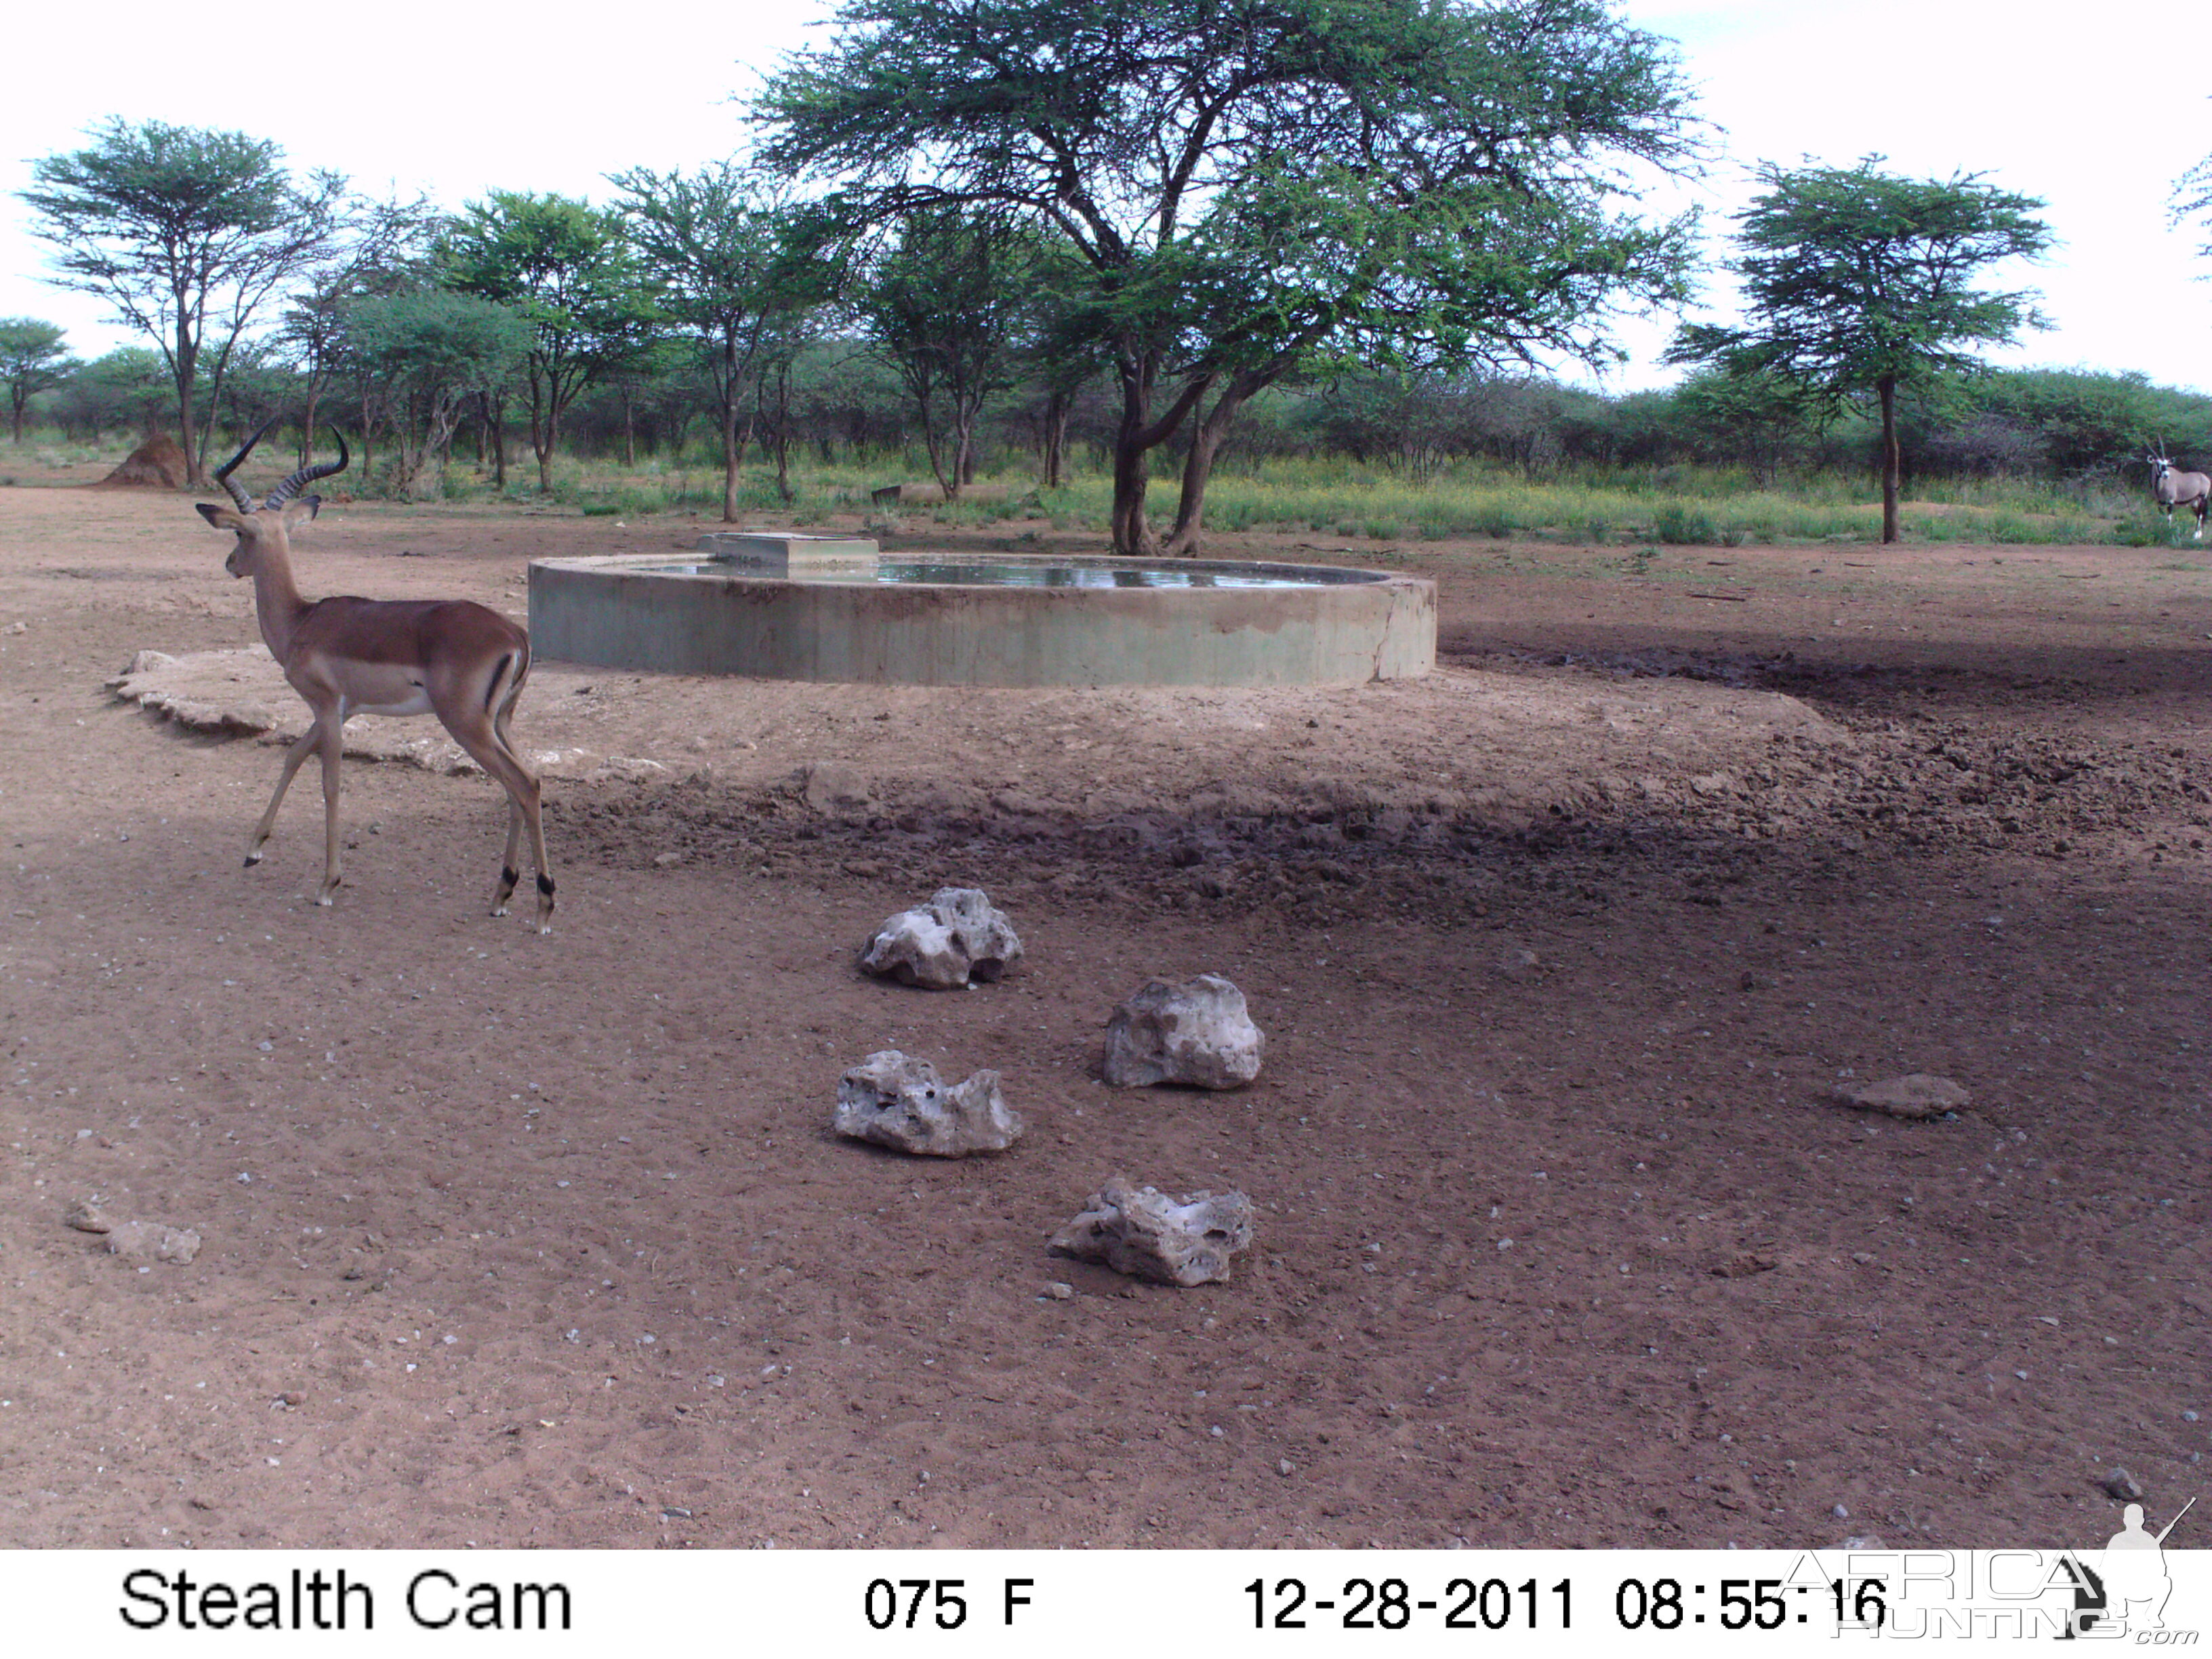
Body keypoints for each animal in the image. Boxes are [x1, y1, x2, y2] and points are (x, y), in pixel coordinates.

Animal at [201, 422, 553, 928]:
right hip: (500, 722)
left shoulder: (327, 707)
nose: (230, 563)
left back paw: (543, 906)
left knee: (523, 783)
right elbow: (293, 756)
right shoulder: (342, 711)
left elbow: (330, 784)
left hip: (467, 725)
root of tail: (515, 635)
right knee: (522, 786)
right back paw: (502, 895)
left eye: (239, 532)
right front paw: (253, 850)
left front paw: (327, 884)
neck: (302, 621)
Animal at [2150, 449, 2203, 539]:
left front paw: (2168, 531)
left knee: (2200, 516)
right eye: (2158, 463)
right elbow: (2161, 515)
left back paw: (2196, 535)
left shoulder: (2171, 502)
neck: (2160, 486)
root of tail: (2206, 478)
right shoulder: (2159, 503)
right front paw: (2160, 528)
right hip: (2194, 502)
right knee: (2198, 515)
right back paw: (2198, 534)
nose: (2167, 475)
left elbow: (2169, 518)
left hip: (2202, 499)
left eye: (2167, 464)